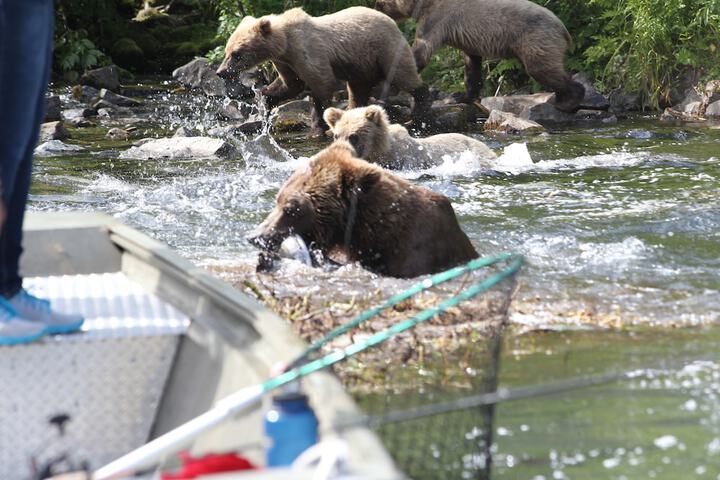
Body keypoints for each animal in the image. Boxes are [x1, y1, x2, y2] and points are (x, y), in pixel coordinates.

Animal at [214, 7, 428, 137]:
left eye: (236, 54)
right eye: (227, 51)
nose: (220, 72)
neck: (284, 43)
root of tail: (393, 21)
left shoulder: (307, 52)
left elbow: (321, 84)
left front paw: (319, 127)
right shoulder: (285, 62)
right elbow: (291, 85)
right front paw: (265, 98)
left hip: (384, 49)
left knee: (403, 75)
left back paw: (421, 112)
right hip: (360, 66)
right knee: (358, 90)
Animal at [376, 0, 584, 111]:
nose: (378, 6)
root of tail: (563, 29)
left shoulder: (437, 18)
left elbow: (420, 50)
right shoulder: (468, 40)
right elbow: (472, 65)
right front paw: (462, 96)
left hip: (535, 38)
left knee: (542, 69)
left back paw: (568, 100)